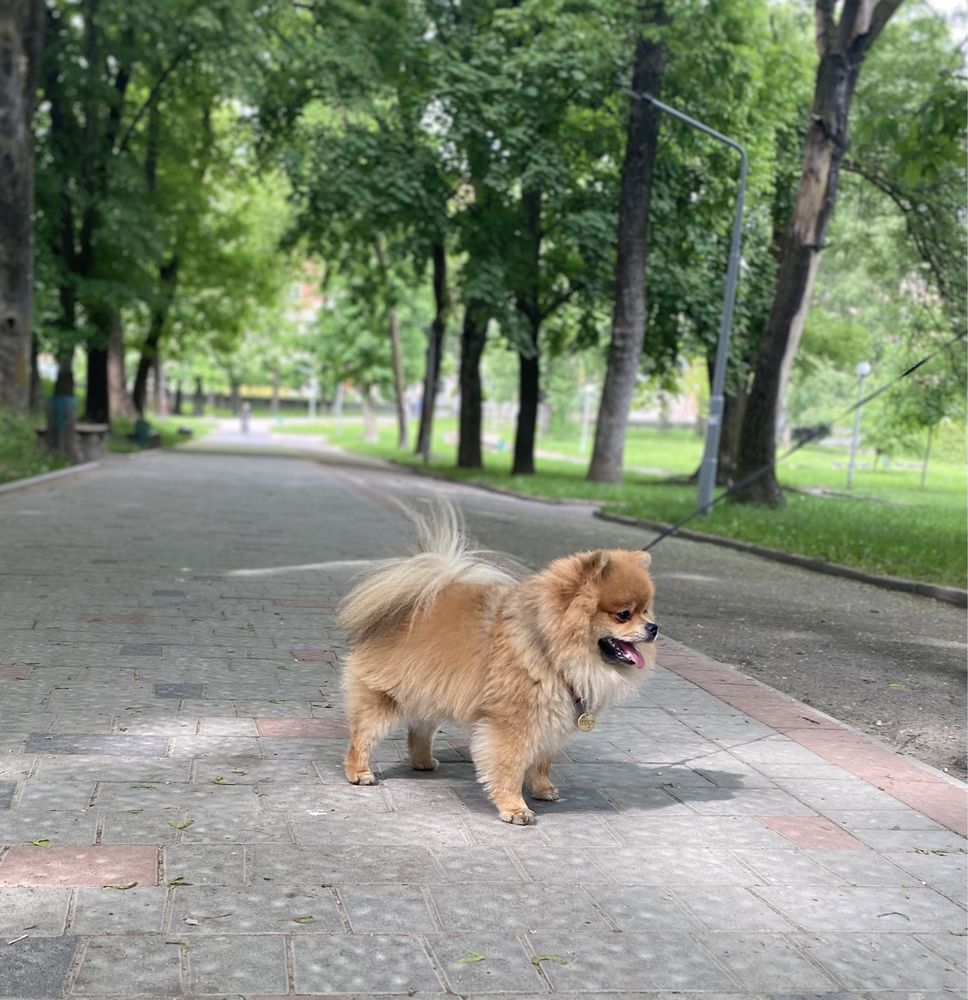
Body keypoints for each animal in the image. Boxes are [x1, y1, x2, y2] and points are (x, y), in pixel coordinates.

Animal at [338, 504, 656, 824]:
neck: (548, 647)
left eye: (646, 610)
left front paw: (543, 789)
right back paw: (358, 771)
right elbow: (509, 766)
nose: (654, 627)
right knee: (362, 734)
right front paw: (515, 808)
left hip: (429, 690)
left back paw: (424, 761)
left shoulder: (553, 719)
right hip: (385, 695)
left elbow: (542, 761)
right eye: (624, 615)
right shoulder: (513, 723)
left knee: (419, 729)